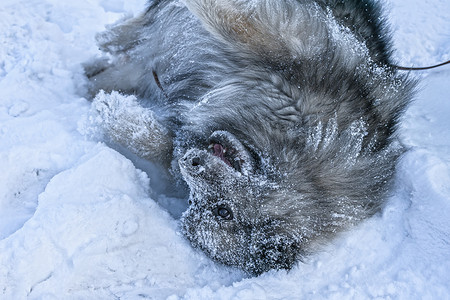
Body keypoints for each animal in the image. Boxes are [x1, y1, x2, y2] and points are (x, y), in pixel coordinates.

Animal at [84, 0, 414, 276]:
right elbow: (229, 19)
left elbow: (161, 147)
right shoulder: (286, 42)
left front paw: (115, 115)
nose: (191, 163)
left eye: (222, 211)